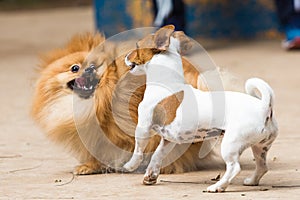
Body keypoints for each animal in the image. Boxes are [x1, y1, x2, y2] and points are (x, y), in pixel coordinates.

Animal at [122, 25, 278, 192]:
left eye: (137, 45)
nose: (125, 56)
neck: (167, 82)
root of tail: (264, 107)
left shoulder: (143, 127)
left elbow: (138, 150)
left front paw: (130, 166)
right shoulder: (168, 140)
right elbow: (157, 155)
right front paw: (150, 176)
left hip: (230, 144)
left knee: (234, 168)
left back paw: (217, 187)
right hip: (260, 147)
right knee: (262, 167)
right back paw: (251, 181)